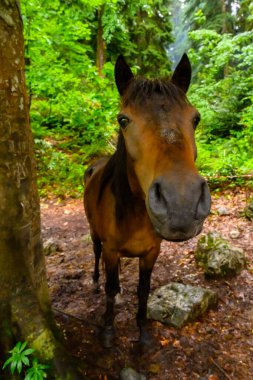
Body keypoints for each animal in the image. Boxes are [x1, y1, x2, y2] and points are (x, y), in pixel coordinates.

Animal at [83, 53, 211, 348]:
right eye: (123, 120)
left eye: (196, 119)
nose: (181, 204)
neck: (134, 214)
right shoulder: (111, 250)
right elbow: (110, 288)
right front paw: (108, 331)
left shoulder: (152, 252)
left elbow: (143, 291)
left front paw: (142, 333)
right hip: (95, 234)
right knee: (96, 255)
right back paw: (94, 281)